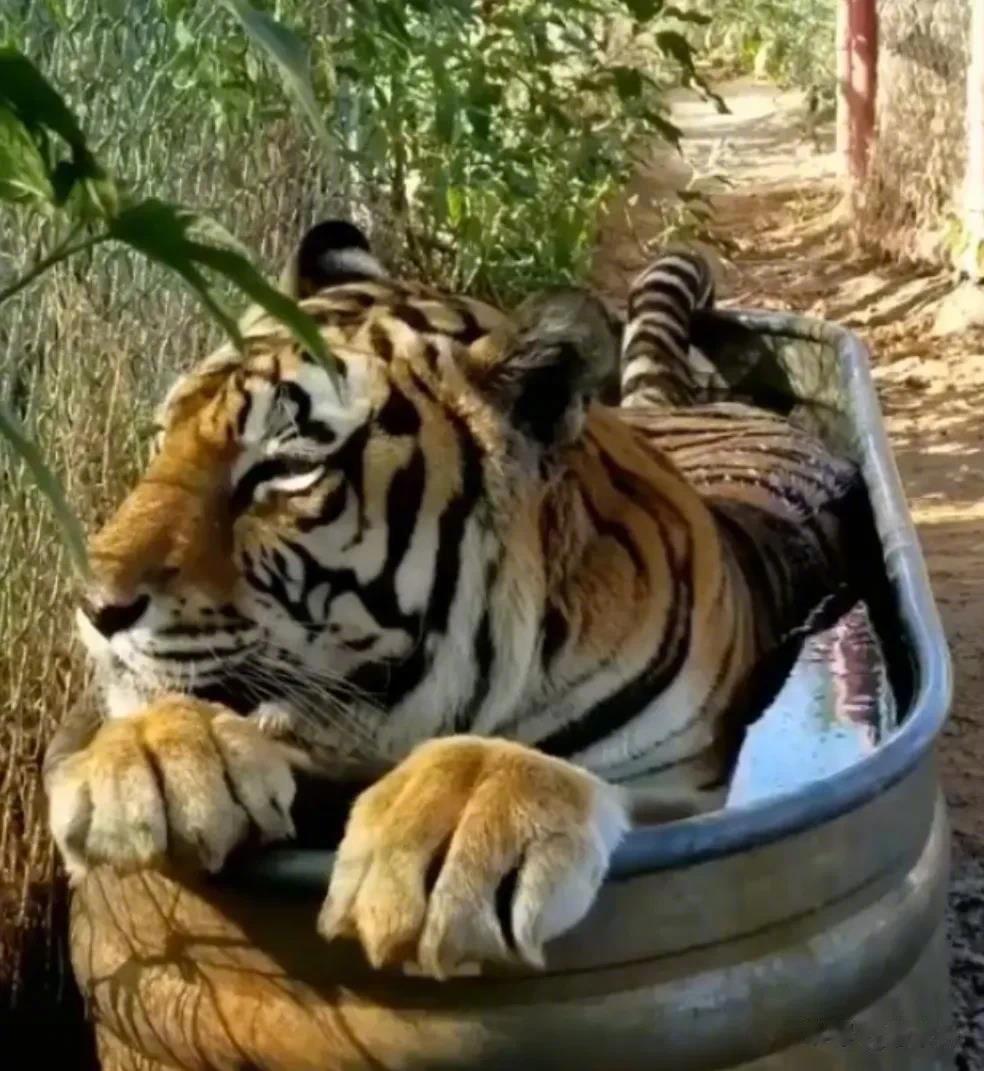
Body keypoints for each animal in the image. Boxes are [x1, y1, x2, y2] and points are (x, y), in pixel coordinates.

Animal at [44, 219, 861, 979]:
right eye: (164, 434)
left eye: (286, 469)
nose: (93, 603)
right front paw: (154, 754)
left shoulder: (688, 786)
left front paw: (453, 824)